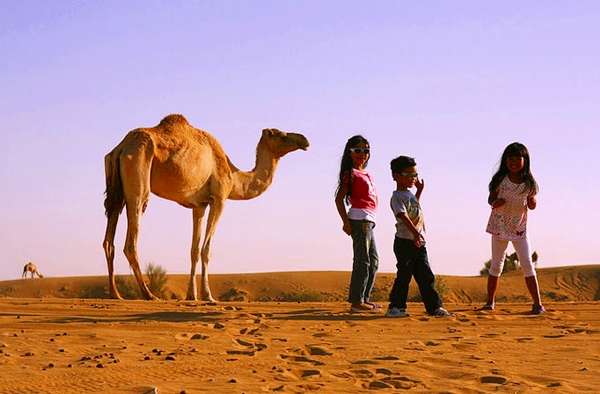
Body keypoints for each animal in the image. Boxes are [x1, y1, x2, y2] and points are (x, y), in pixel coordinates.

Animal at [102, 114, 310, 302]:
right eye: (282, 135)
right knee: (131, 239)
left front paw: (191, 295)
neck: (234, 177)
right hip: (138, 174)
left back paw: (115, 294)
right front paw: (208, 296)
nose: (305, 140)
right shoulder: (219, 199)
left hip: (115, 188)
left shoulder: (199, 206)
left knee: (109, 237)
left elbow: (194, 250)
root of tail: (121, 148)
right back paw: (149, 295)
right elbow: (206, 249)